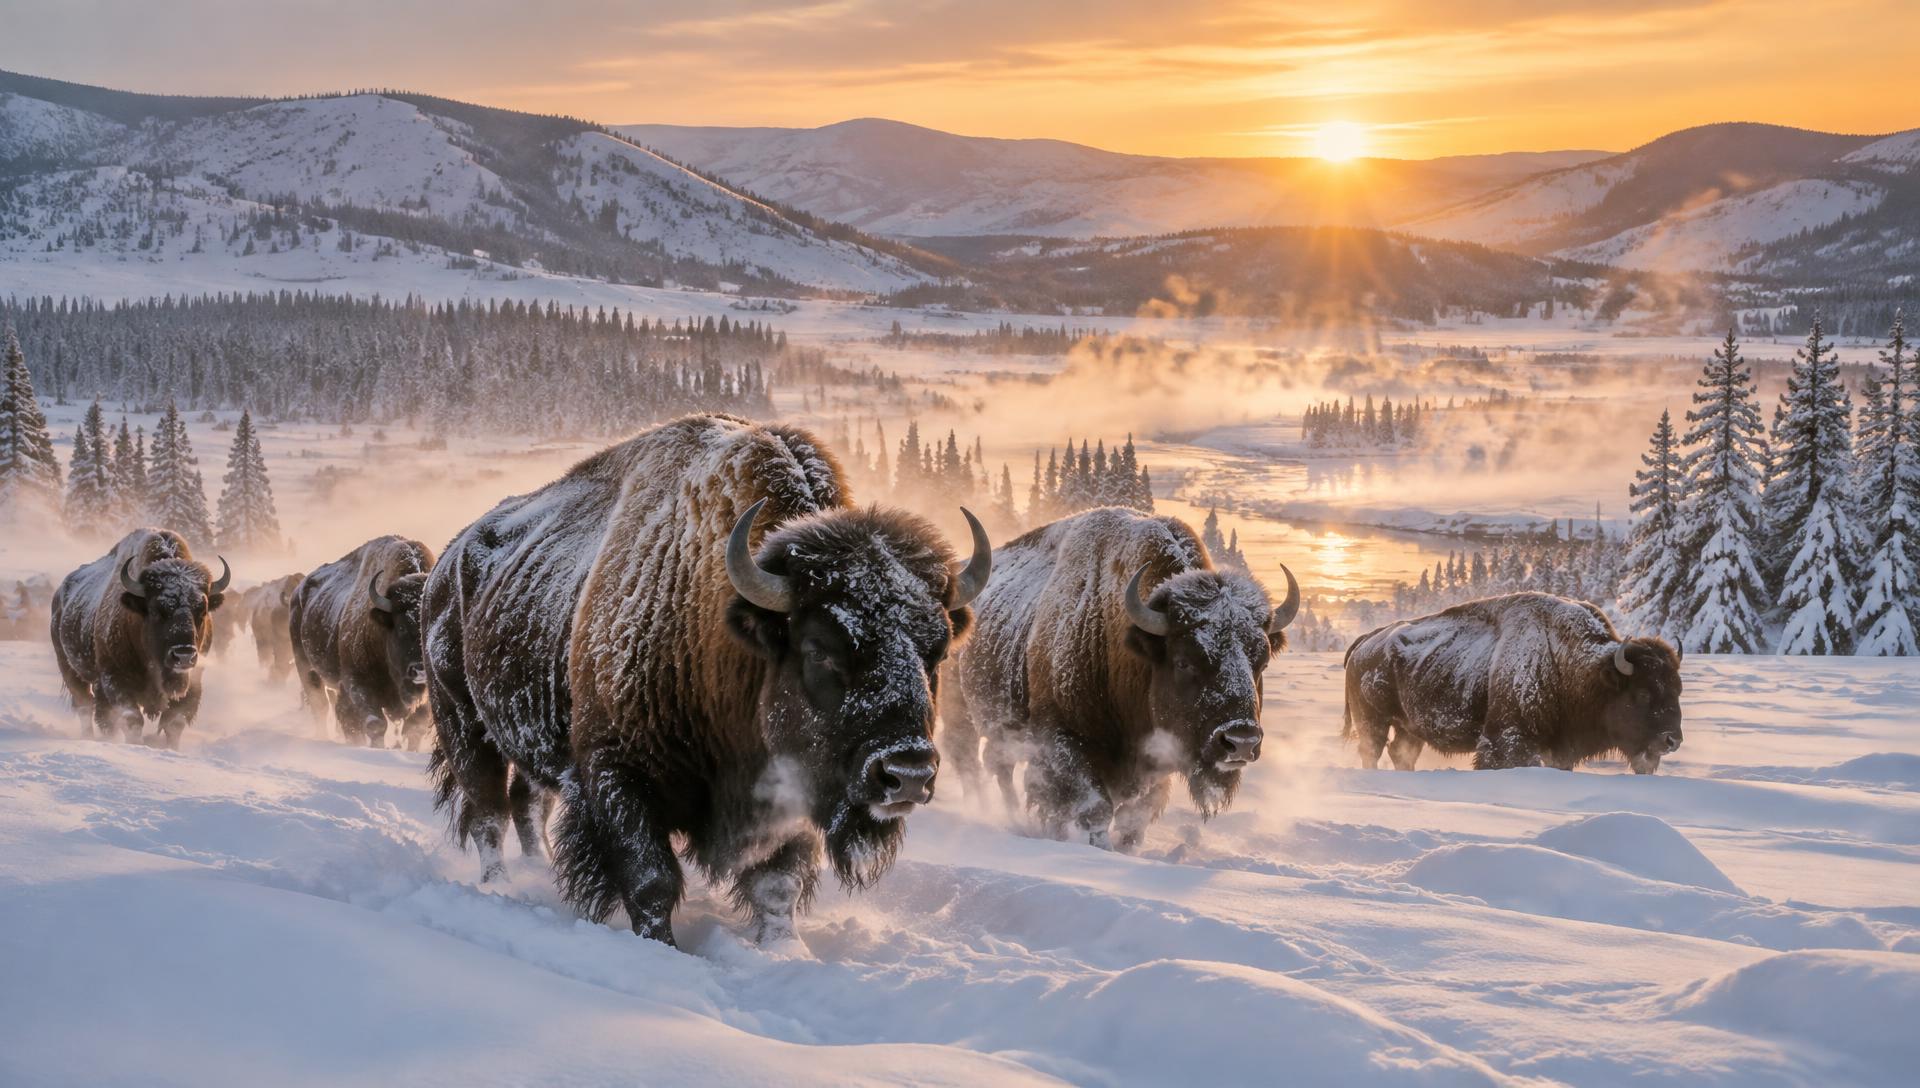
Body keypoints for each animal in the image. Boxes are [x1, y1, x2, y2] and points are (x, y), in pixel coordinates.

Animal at [50, 528, 230, 748]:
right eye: (156, 610)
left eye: (202, 610)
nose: (183, 655)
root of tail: (60, 595)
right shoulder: (115, 680)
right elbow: (131, 719)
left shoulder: (192, 681)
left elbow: (174, 722)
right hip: (69, 668)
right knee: (85, 705)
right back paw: (89, 738)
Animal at [289, 536, 435, 749]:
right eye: (400, 627)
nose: (420, 670)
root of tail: (297, 593)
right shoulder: (358, 685)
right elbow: (375, 724)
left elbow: (415, 728)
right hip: (307, 670)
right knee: (321, 707)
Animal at [423, 413, 989, 946]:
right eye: (818, 648)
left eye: (937, 650)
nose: (906, 773)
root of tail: (446, 565)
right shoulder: (615, 776)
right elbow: (650, 880)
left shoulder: (793, 789)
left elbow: (778, 884)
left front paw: (782, 951)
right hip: (463, 724)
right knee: (488, 812)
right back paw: (499, 887)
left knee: (527, 805)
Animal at [942, 507, 1297, 851]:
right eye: (1183, 661)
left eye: (1261, 661)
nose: (1240, 741)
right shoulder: (1063, 745)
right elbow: (1093, 809)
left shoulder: (1155, 764)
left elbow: (1134, 820)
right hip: (963, 715)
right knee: (974, 764)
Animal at [1343, 591, 1683, 773]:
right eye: (1642, 693)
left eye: (1677, 689)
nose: (1672, 740)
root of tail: (1365, 643)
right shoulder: (1509, 740)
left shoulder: (1558, 750)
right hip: (1373, 721)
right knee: (1372, 750)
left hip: (1409, 727)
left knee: (1400, 752)